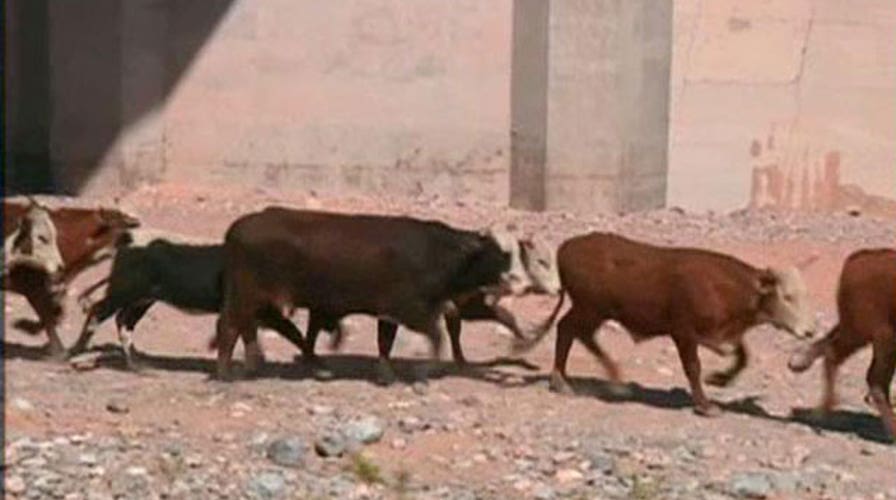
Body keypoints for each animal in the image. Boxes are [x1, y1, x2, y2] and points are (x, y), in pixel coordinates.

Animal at [215, 207, 543, 381]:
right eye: (498, 254)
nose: (522, 283)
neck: (437, 253)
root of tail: (236, 228)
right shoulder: (411, 310)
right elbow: (436, 336)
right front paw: (426, 368)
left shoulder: (391, 313)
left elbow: (386, 343)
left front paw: (386, 373)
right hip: (246, 296)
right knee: (229, 327)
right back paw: (227, 372)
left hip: (249, 301)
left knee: (241, 329)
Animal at [513, 232, 816, 416]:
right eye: (788, 297)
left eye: (804, 295)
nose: (810, 331)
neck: (731, 288)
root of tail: (569, 246)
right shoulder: (683, 332)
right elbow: (693, 367)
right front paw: (705, 405)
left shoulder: (721, 333)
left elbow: (743, 355)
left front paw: (721, 378)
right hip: (590, 309)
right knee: (568, 330)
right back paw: (570, 380)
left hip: (594, 311)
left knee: (578, 334)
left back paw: (606, 378)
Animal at [787, 248, 895, 441]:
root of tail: (857, 258)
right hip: (870, 335)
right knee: (871, 377)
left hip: (859, 331)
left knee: (829, 343)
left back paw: (798, 362)